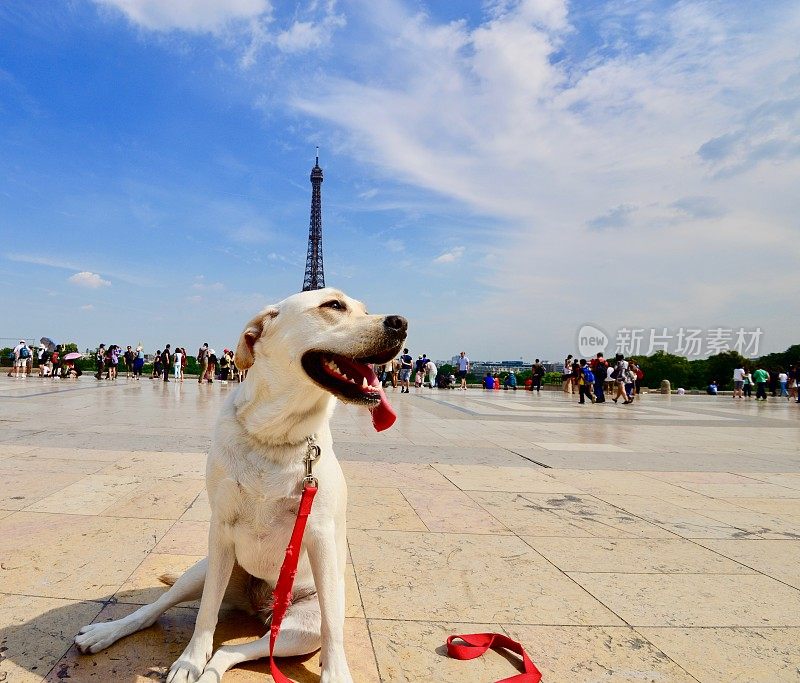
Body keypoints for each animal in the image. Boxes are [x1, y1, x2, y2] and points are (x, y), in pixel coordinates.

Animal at [75, 290, 406, 683]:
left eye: (366, 310)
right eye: (334, 306)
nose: (401, 323)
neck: (275, 434)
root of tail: (259, 605)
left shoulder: (322, 535)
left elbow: (332, 628)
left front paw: (336, 672)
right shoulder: (220, 529)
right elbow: (205, 614)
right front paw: (189, 660)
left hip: (299, 630)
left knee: (235, 649)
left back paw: (212, 669)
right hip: (204, 571)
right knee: (156, 609)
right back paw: (106, 632)